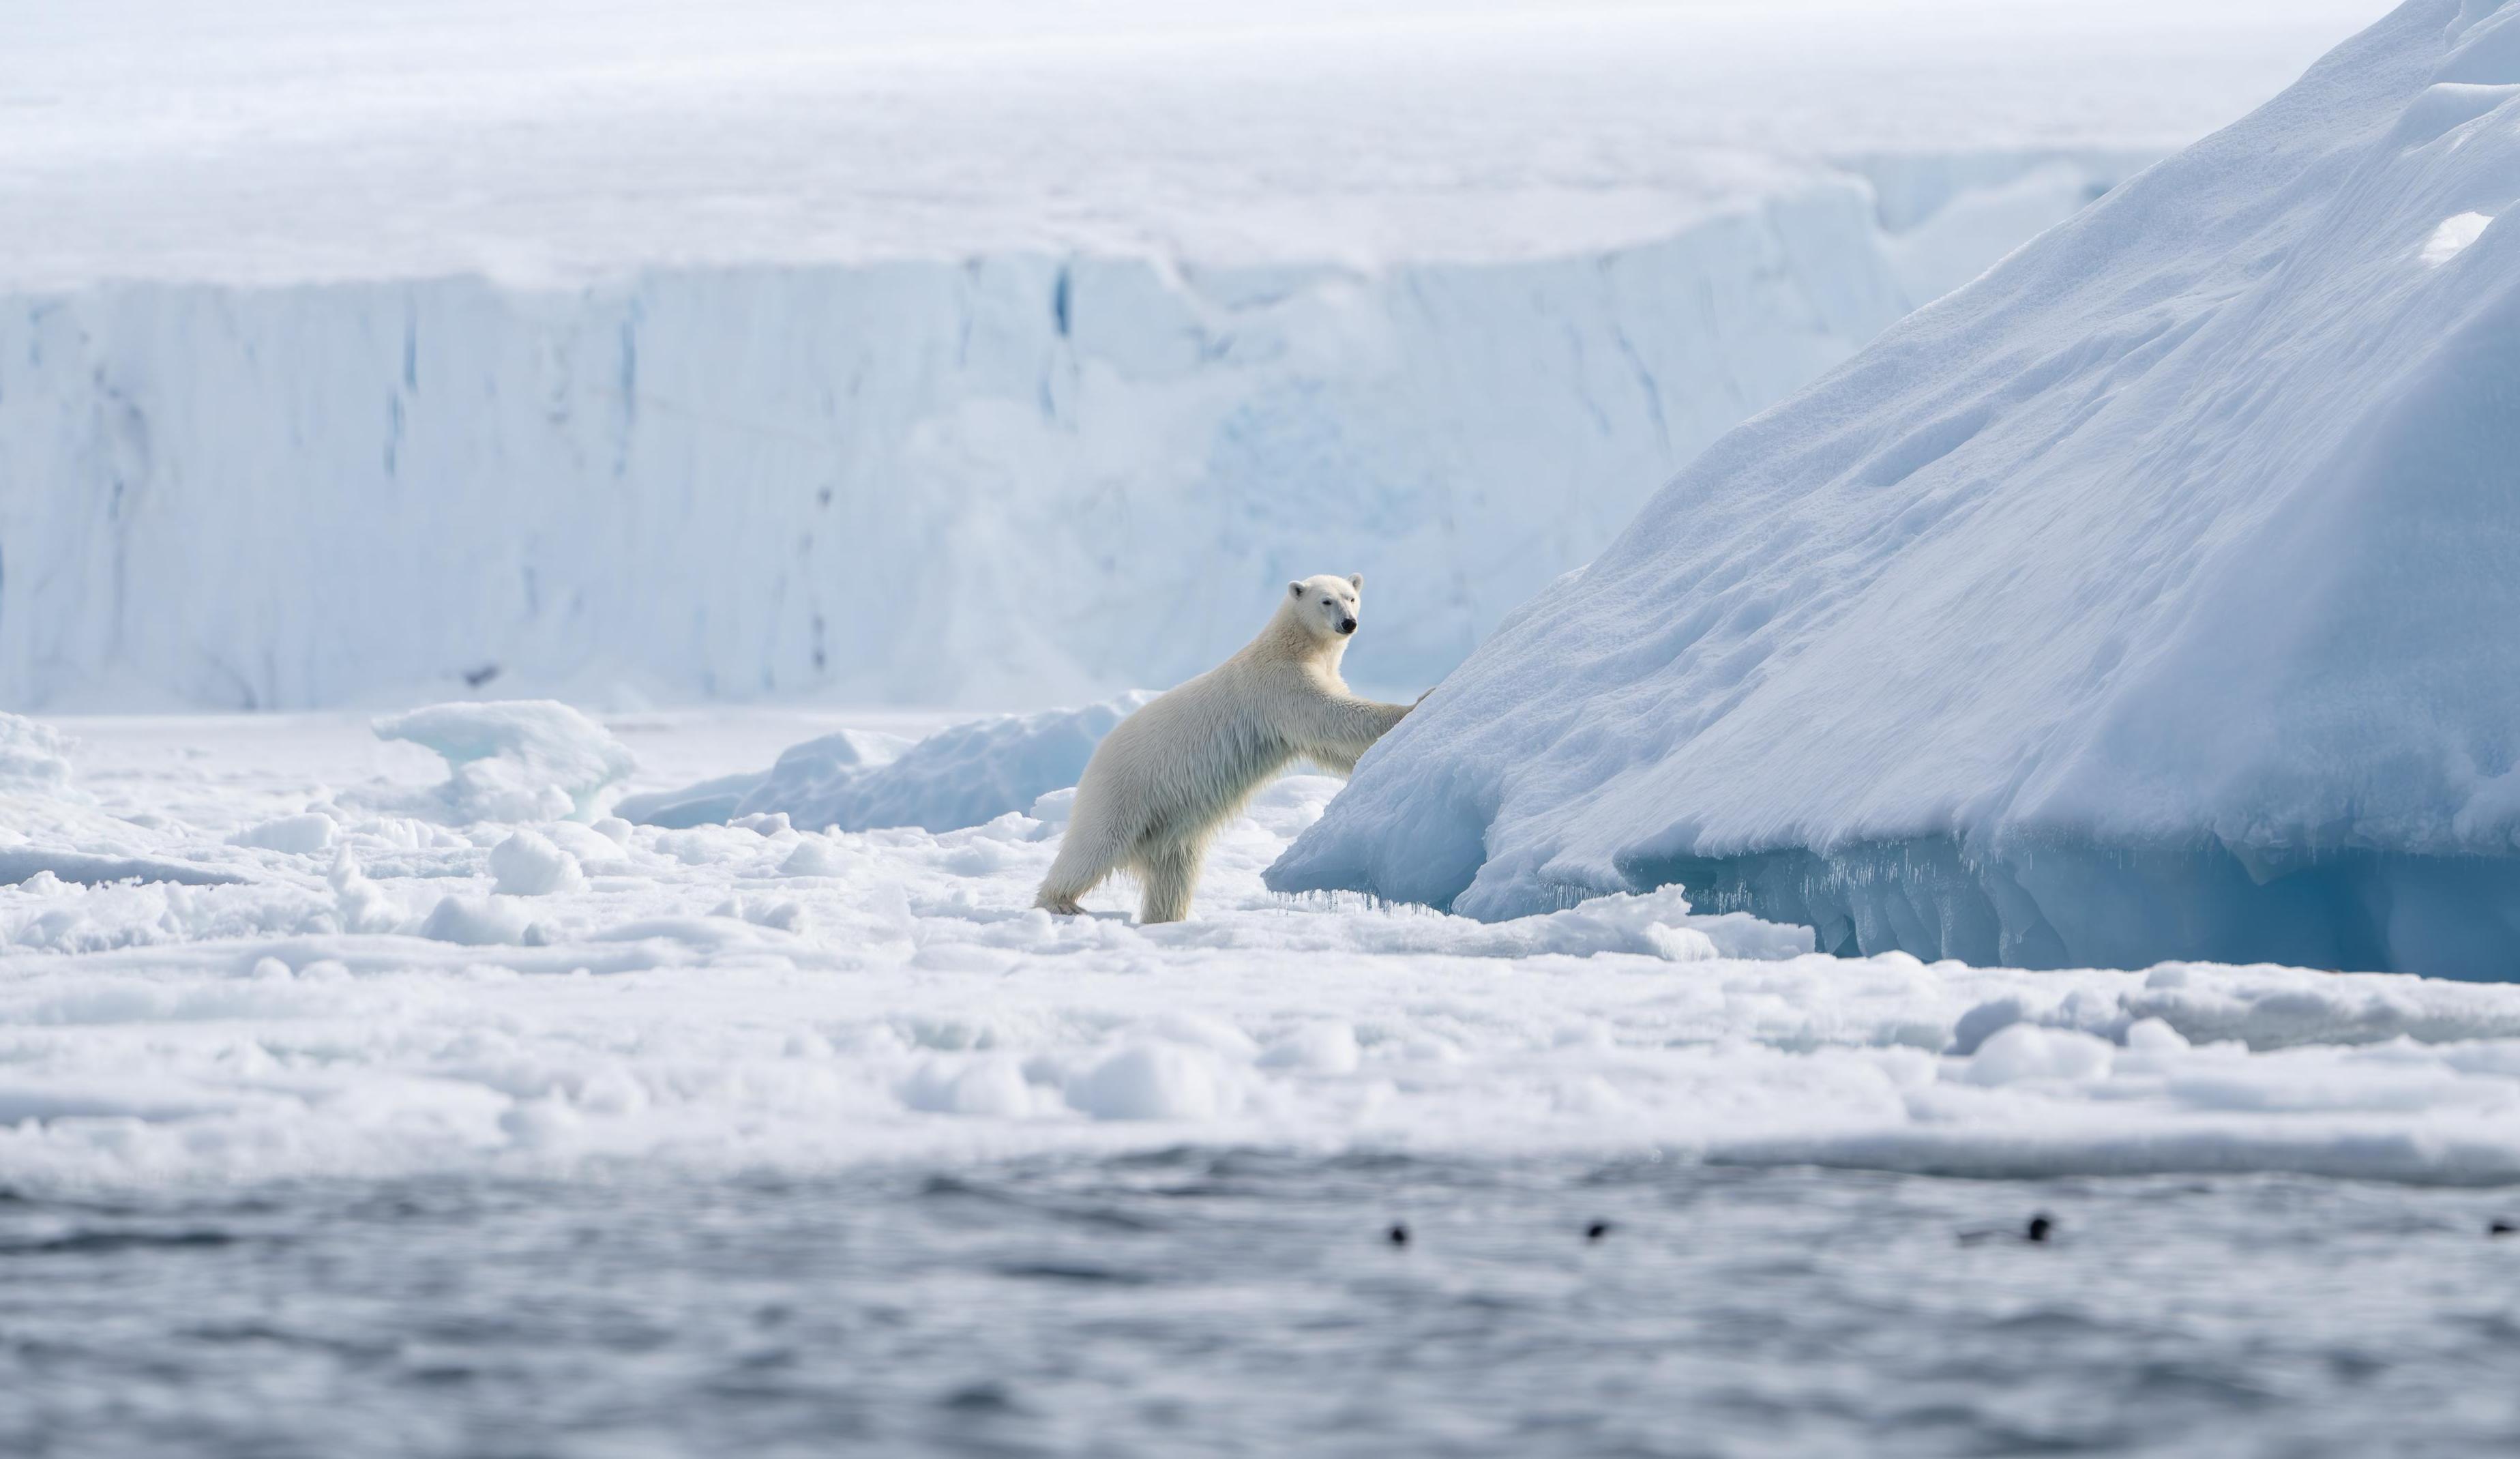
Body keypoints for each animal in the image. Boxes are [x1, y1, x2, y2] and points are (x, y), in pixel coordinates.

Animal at [1033, 574, 1411, 927]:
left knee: (1173, 875)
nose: (1349, 623)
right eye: (1326, 601)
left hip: (1169, 826)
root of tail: (1094, 759)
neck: (1291, 646)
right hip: (1124, 791)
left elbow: (1331, 743)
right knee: (1094, 846)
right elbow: (1328, 715)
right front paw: (1413, 705)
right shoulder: (1280, 682)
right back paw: (1061, 902)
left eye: (1351, 597)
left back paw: (1165, 919)